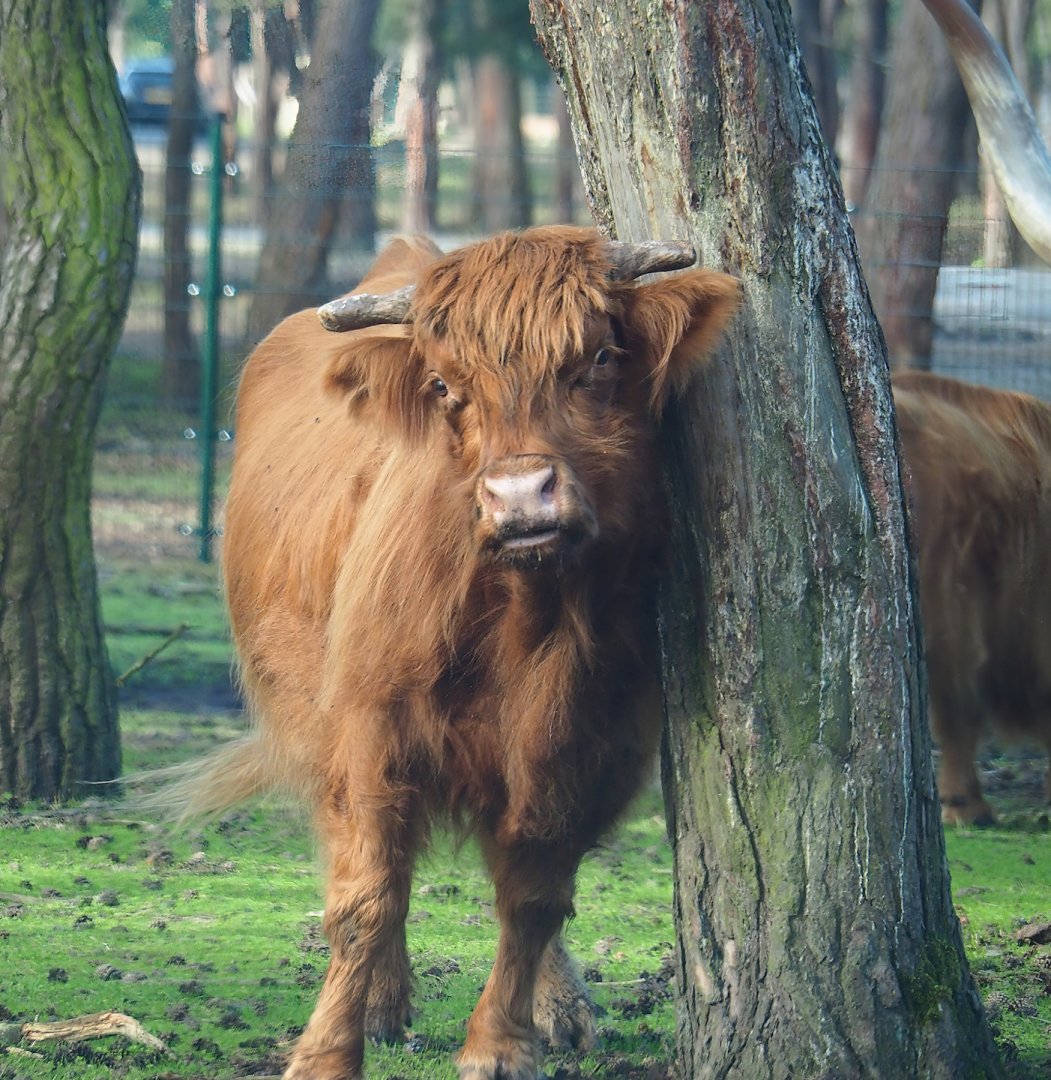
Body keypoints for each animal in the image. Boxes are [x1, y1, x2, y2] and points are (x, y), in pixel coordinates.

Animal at [161, 225, 740, 1079]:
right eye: (441, 384)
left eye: (601, 357)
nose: (520, 495)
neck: (528, 629)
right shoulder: (369, 727)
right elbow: (367, 897)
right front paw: (326, 1053)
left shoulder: (590, 745)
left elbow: (535, 897)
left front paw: (502, 1041)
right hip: (304, 710)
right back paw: (380, 1000)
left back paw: (558, 1006)